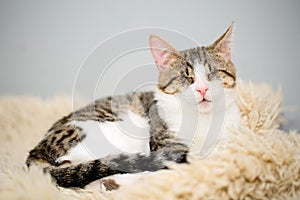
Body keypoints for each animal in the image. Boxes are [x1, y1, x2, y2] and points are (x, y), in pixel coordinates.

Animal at [27, 23, 240, 189]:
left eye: (213, 74)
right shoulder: (168, 146)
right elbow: (179, 165)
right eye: (186, 77)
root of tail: (37, 150)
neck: (204, 120)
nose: (203, 89)